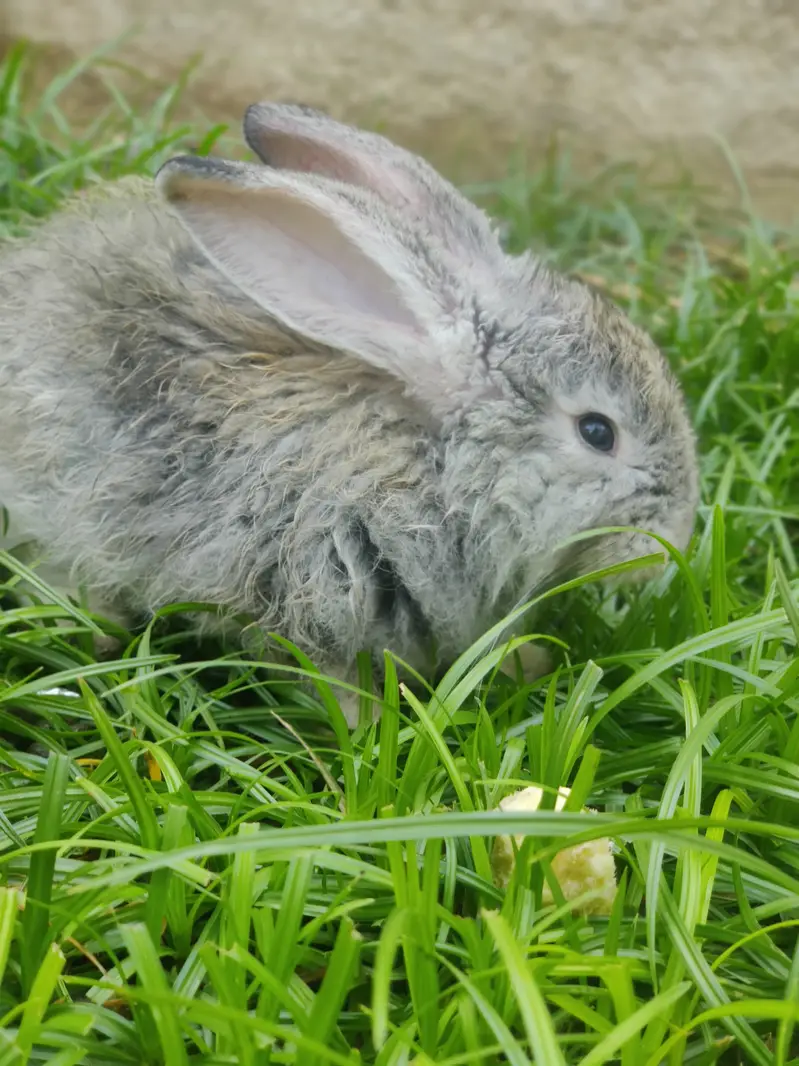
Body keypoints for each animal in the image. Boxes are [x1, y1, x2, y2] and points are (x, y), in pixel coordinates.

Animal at [0, 103, 699, 725]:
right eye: (597, 432)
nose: (672, 542)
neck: (441, 466)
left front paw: (527, 666)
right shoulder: (310, 588)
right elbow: (332, 677)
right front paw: (366, 733)